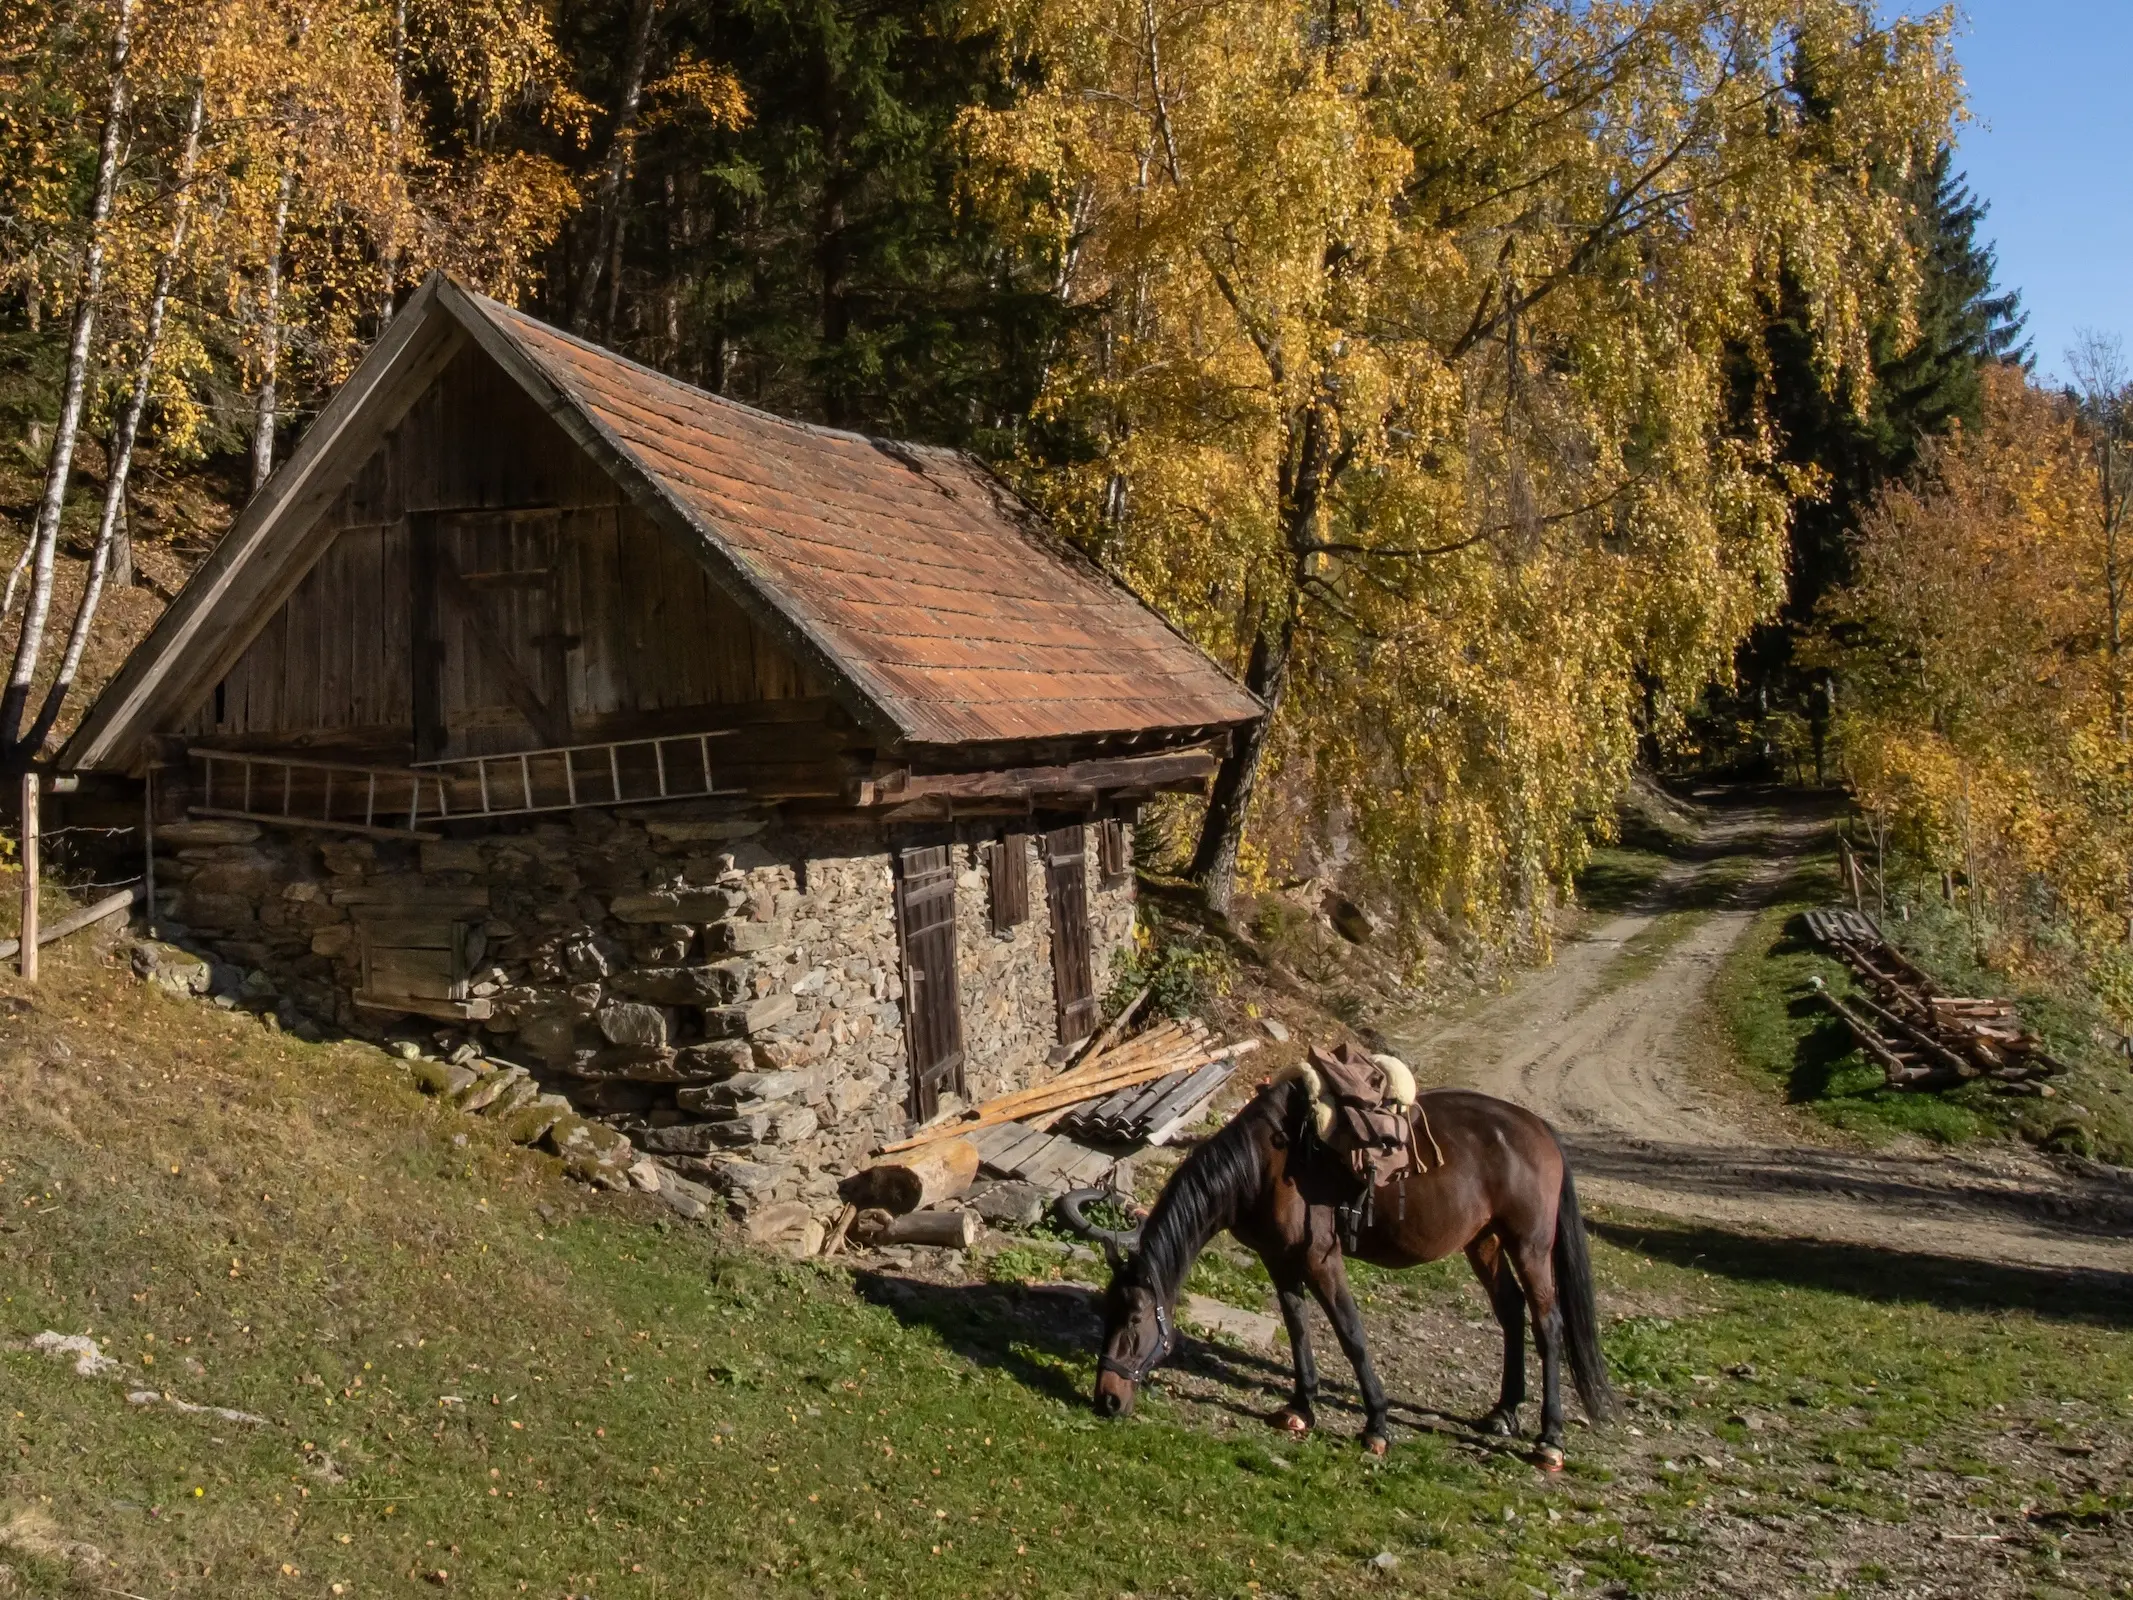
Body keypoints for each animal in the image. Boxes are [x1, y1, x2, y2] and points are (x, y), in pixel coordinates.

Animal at [1066, 1079, 1612, 1467]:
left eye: (1135, 1322)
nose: (1106, 1399)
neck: (1266, 1165)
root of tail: (1539, 1129)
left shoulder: (1320, 1258)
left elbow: (1351, 1334)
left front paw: (1376, 1426)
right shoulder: (1279, 1260)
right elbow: (1298, 1329)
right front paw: (1300, 1409)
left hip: (1530, 1246)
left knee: (1547, 1324)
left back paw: (1550, 1438)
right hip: (1483, 1241)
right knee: (1511, 1312)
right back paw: (1503, 1413)